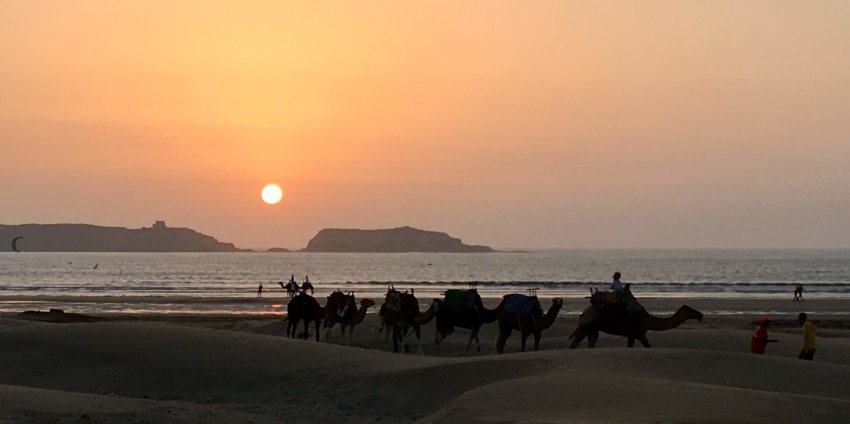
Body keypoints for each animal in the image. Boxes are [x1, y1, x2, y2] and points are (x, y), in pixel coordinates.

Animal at [568, 304, 700, 350]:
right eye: (691, 310)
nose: (701, 314)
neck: (647, 320)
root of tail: (584, 313)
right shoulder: (636, 333)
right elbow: (647, 346)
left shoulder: (637, 334)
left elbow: (646, 346)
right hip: (586, 325)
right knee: (576, 341)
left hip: (593, 328)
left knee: (591, 340)